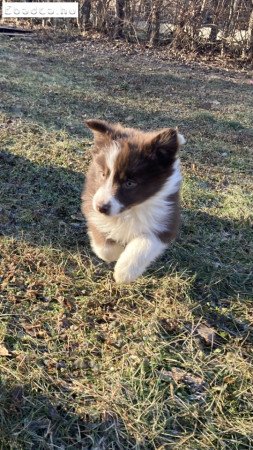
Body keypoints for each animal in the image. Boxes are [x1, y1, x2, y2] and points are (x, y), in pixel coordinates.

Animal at [81, 118, 186, 284]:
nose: (101, 207)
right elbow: (104, 246)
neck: (130, 210)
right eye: (103, 174)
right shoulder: (91, 200)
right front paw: (117, 252)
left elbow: (147, 242)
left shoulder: (166, 217)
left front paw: (124, 272)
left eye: (130, 183)